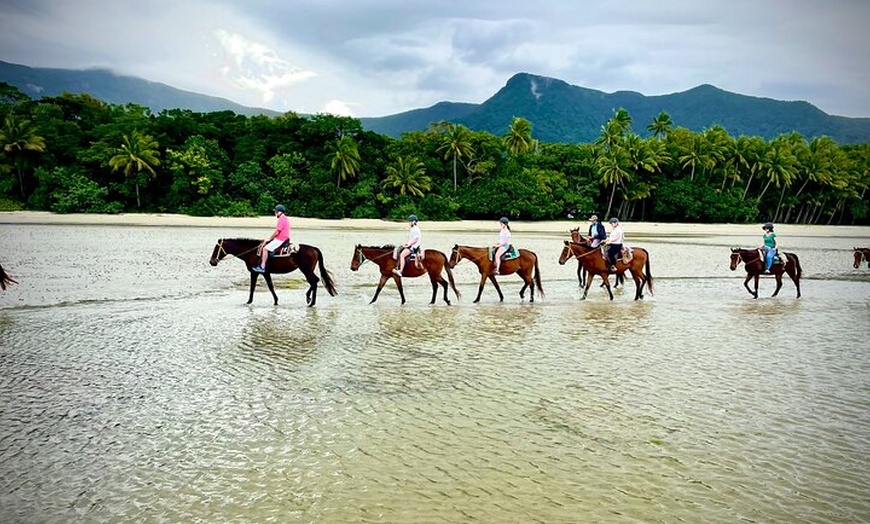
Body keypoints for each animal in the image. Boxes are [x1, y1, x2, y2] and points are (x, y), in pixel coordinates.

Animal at [208, 235, 338, 304]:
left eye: (216, 248)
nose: (212, 262)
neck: (252, 252)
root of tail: (314, 248)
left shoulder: (255, 272)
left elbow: (253, 287)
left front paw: (249, 301)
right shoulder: (265, 273)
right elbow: (270, 286)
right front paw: (276, 300)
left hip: (306, 270)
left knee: (314, 281)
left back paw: (311, 301)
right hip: (307, 270)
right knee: (314, 281)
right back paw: (309, 299)